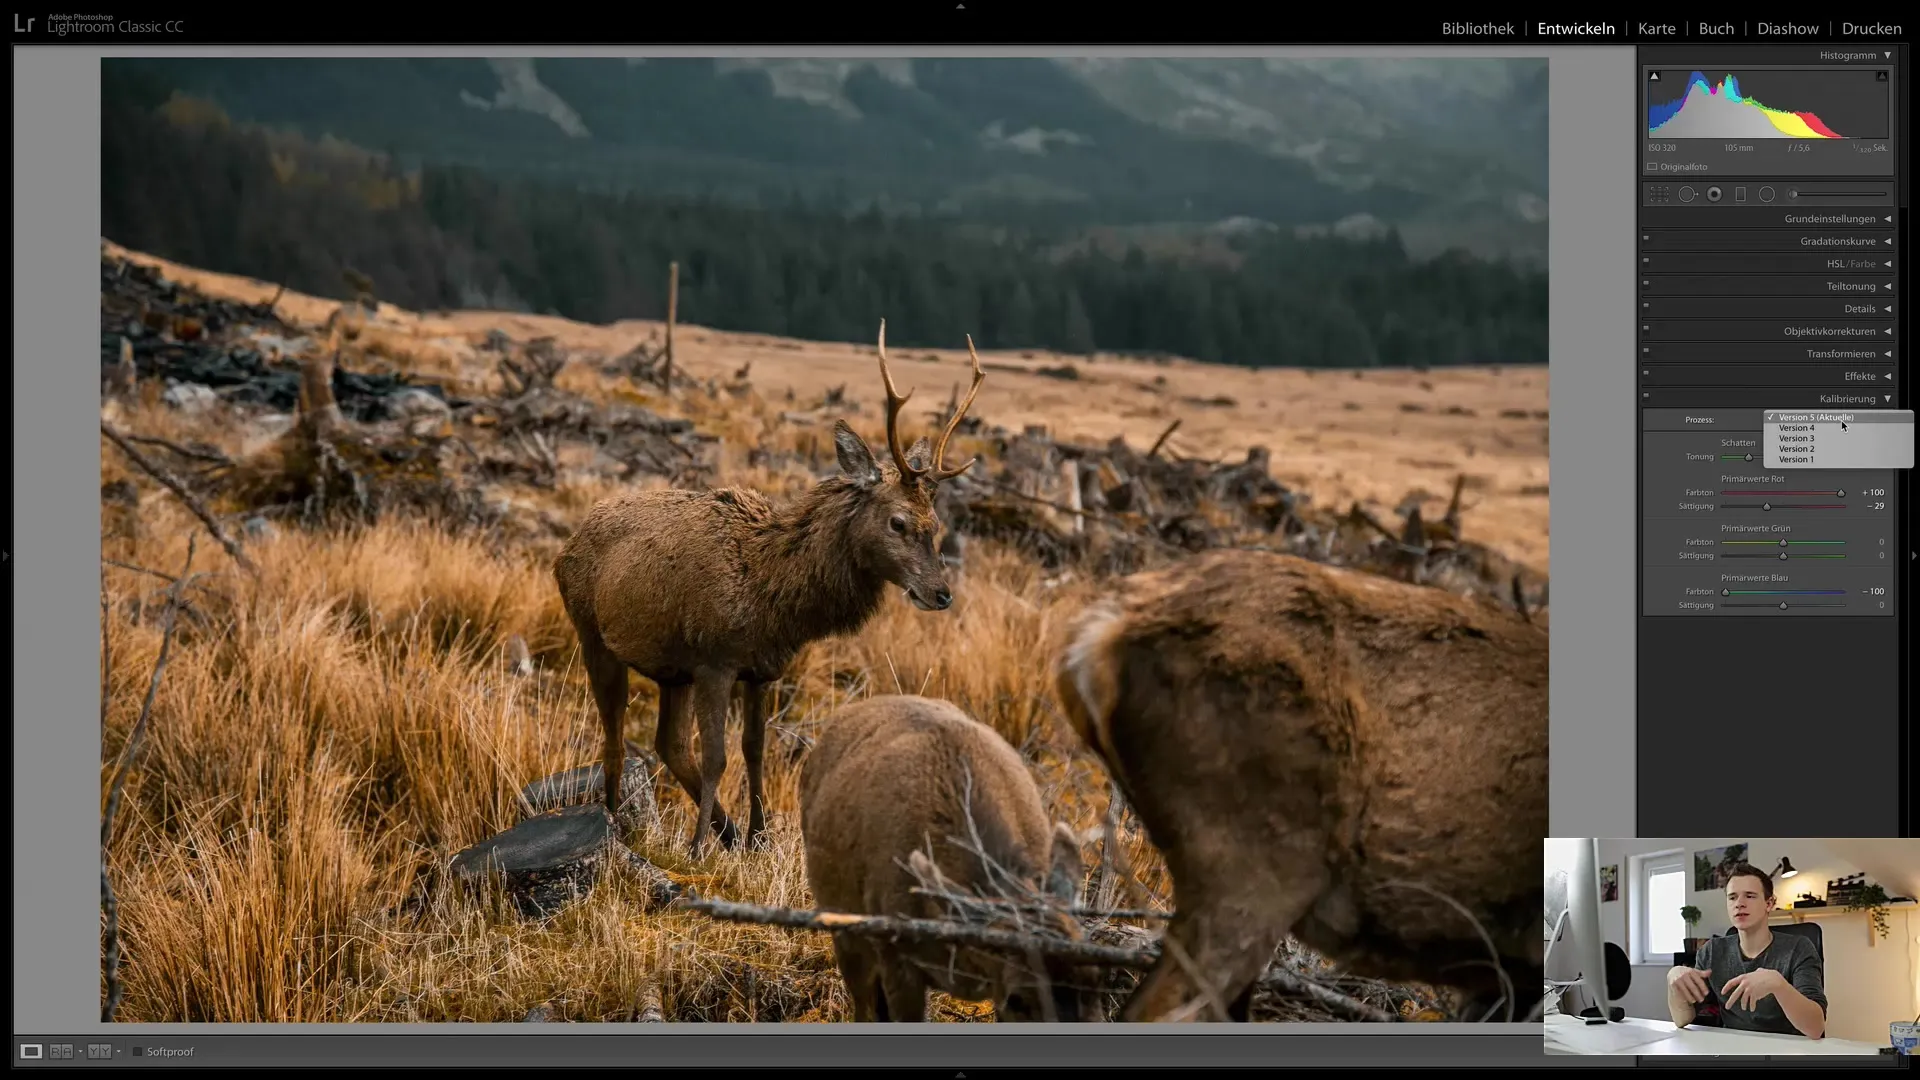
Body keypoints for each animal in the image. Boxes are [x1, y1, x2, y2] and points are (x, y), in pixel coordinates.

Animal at [549, 315, 983, 853]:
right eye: (898, 522)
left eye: (936, 522)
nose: (940, 593)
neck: (771, 598)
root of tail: (566, 547)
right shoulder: (714, 660)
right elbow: (717, 755)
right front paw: (697, 848)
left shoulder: (761, 670)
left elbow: (755, 749)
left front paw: (757, 836)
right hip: (593, 634)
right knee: (613, 738)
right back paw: (615, 819)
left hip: (670, 669)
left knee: (668, 742)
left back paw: (727, 832)